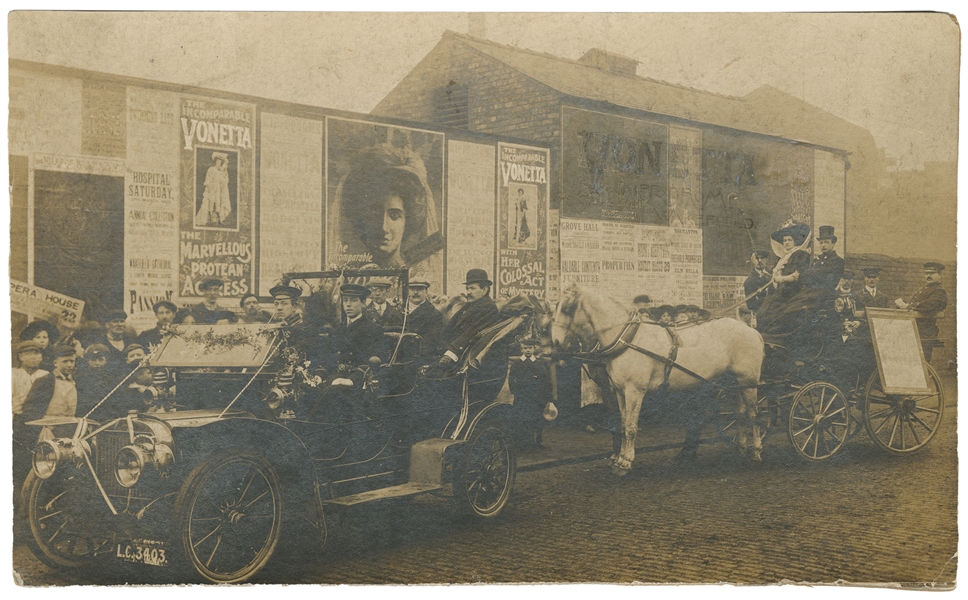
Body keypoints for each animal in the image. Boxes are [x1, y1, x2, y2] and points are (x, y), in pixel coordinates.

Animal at [552, 284, 764, 476]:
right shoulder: (619, 391)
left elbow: (631, 427)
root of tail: (752, 331)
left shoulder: (634, 391)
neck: (627, 339)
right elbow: (622, 423)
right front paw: (619, 459)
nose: (555, 342)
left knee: (753, 414)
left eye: (567, 308)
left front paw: (625, 462)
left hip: (748, 380)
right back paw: (740, 448)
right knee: (740, 413)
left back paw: (756, 451)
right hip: (733, 382)